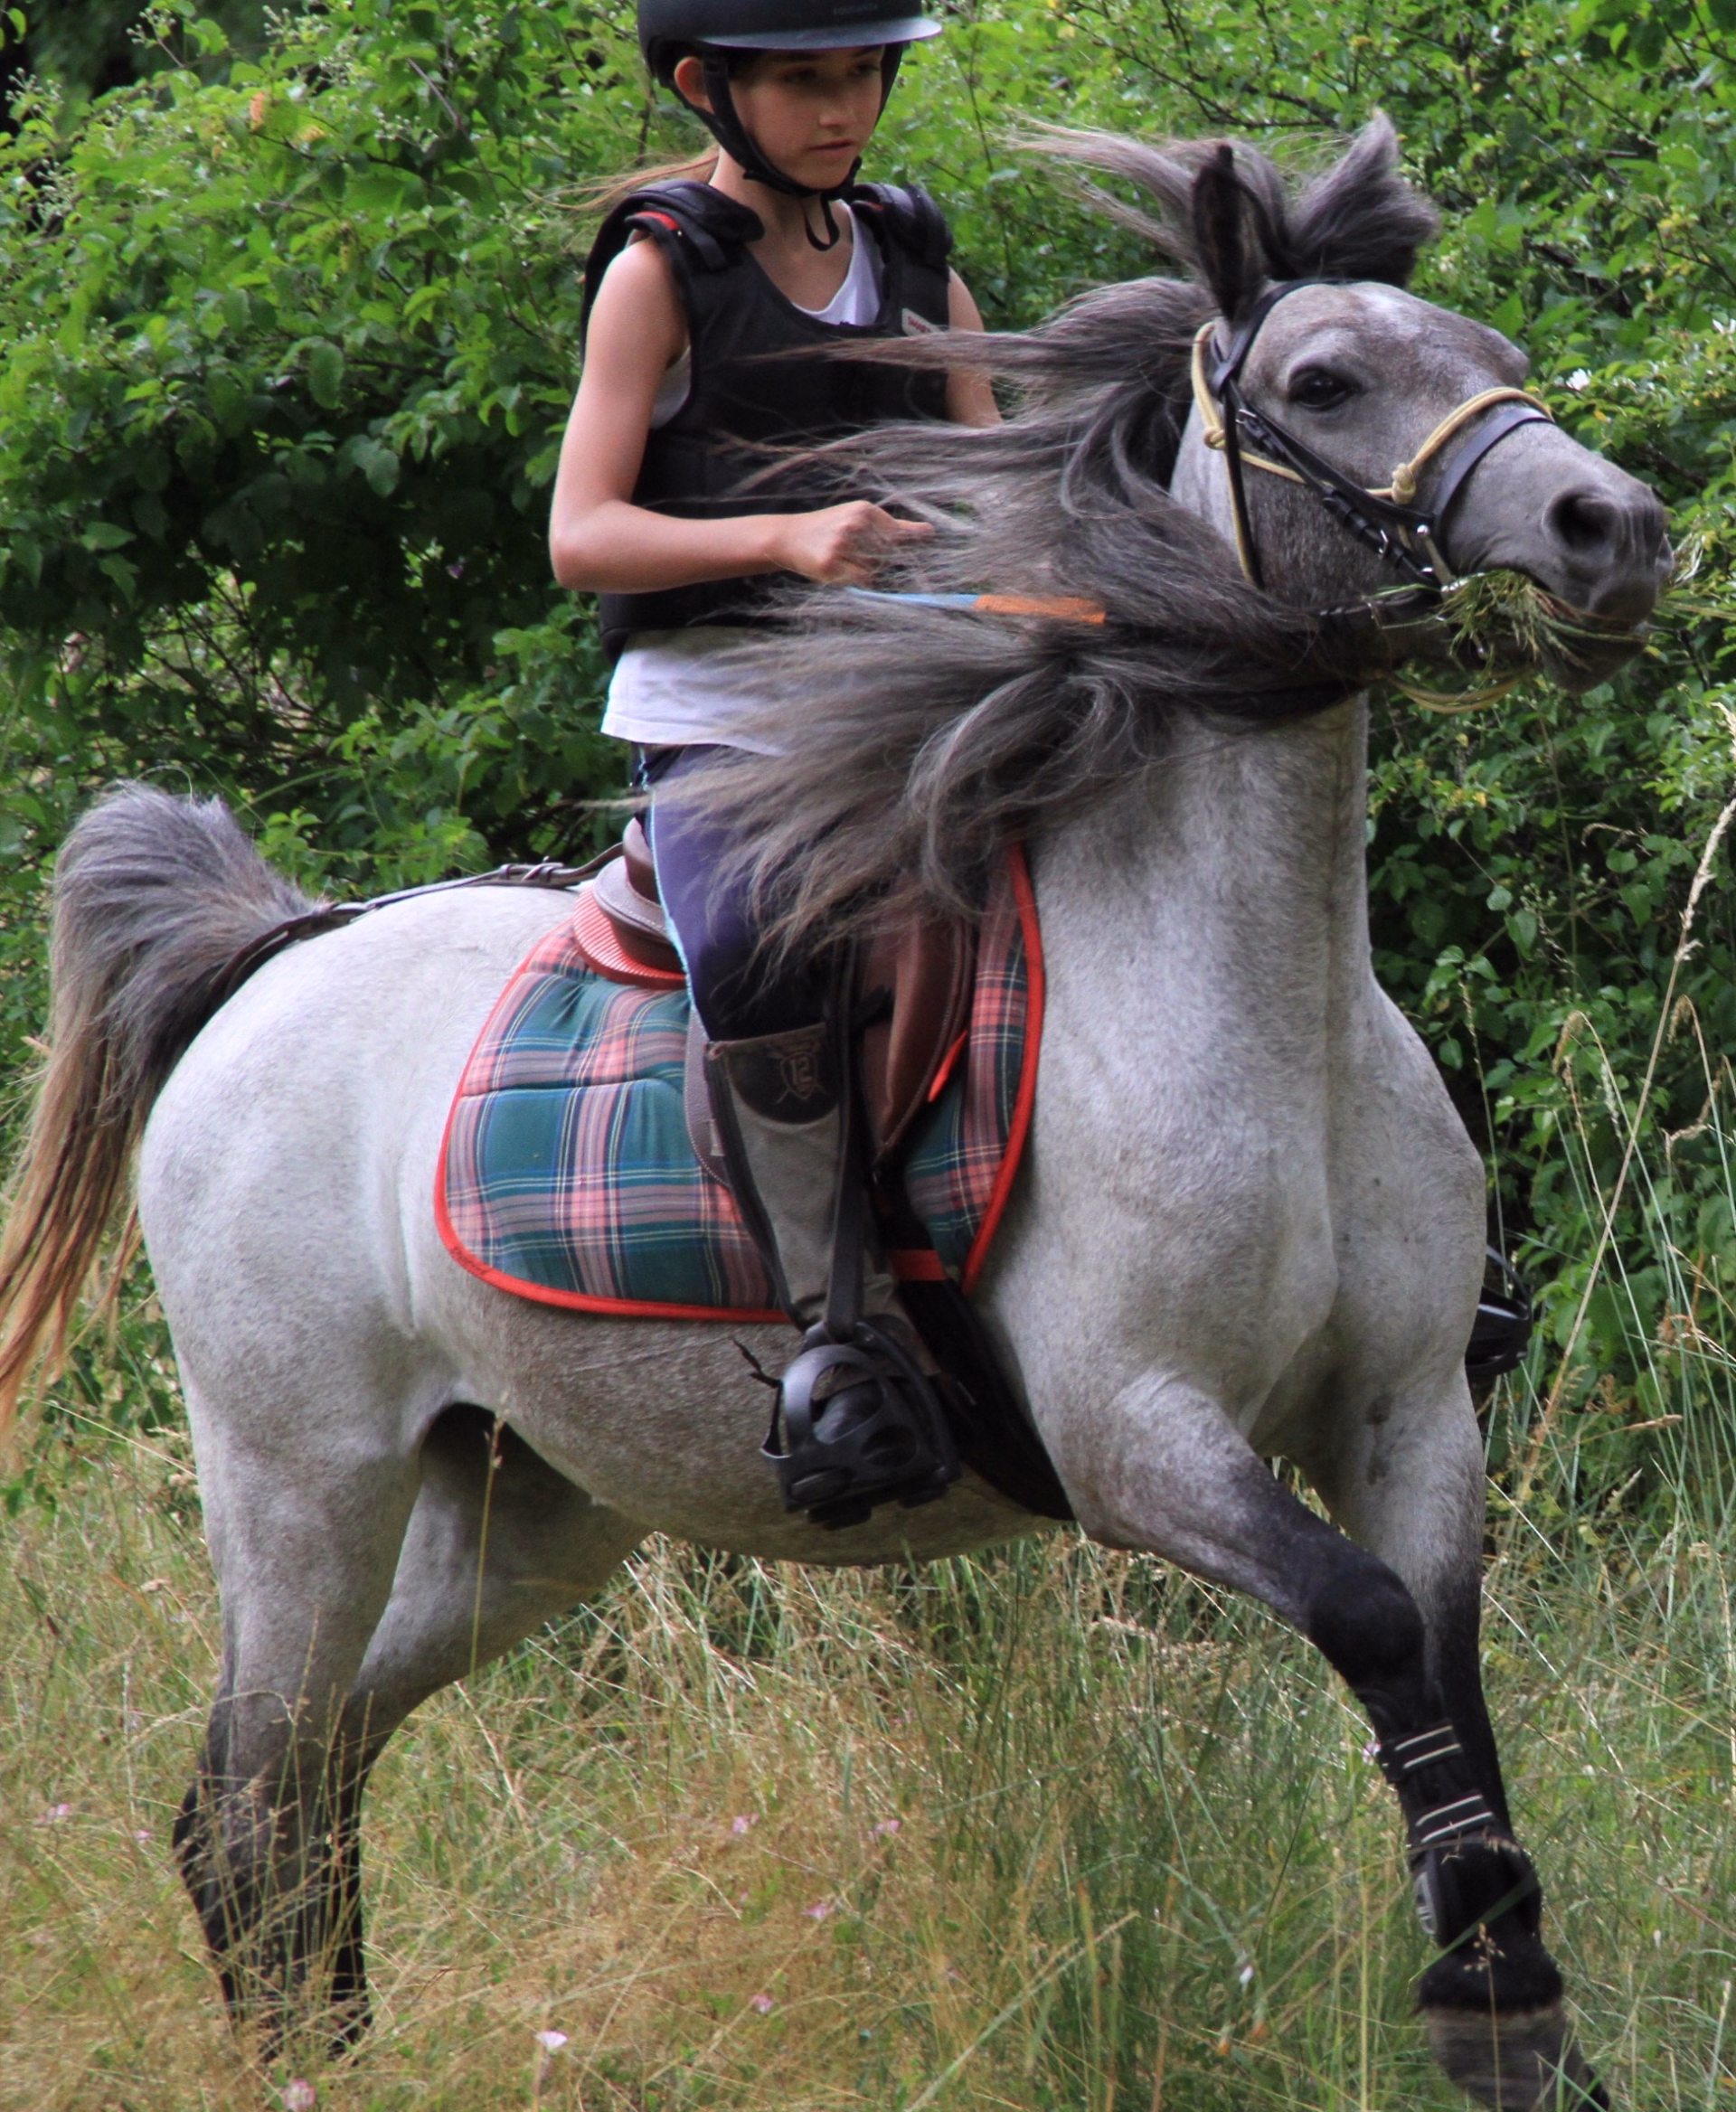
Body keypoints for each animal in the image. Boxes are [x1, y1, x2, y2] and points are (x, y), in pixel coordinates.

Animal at [0, 121, 1669, 2107]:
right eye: (1328, 381)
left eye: (1488, 346)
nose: (1616, 530)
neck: (1268, 1002)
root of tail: (275, 953)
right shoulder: (1137, 1435)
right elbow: (1373, 1624)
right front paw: (1489, 1992)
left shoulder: (1409, 1412)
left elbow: (1448, 1676)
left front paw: (1516, 2013)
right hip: (298, 1473)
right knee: (257, 1790)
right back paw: (306, 2069)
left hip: (524, 1501)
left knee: (311, 1773)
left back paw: (350, 2053)